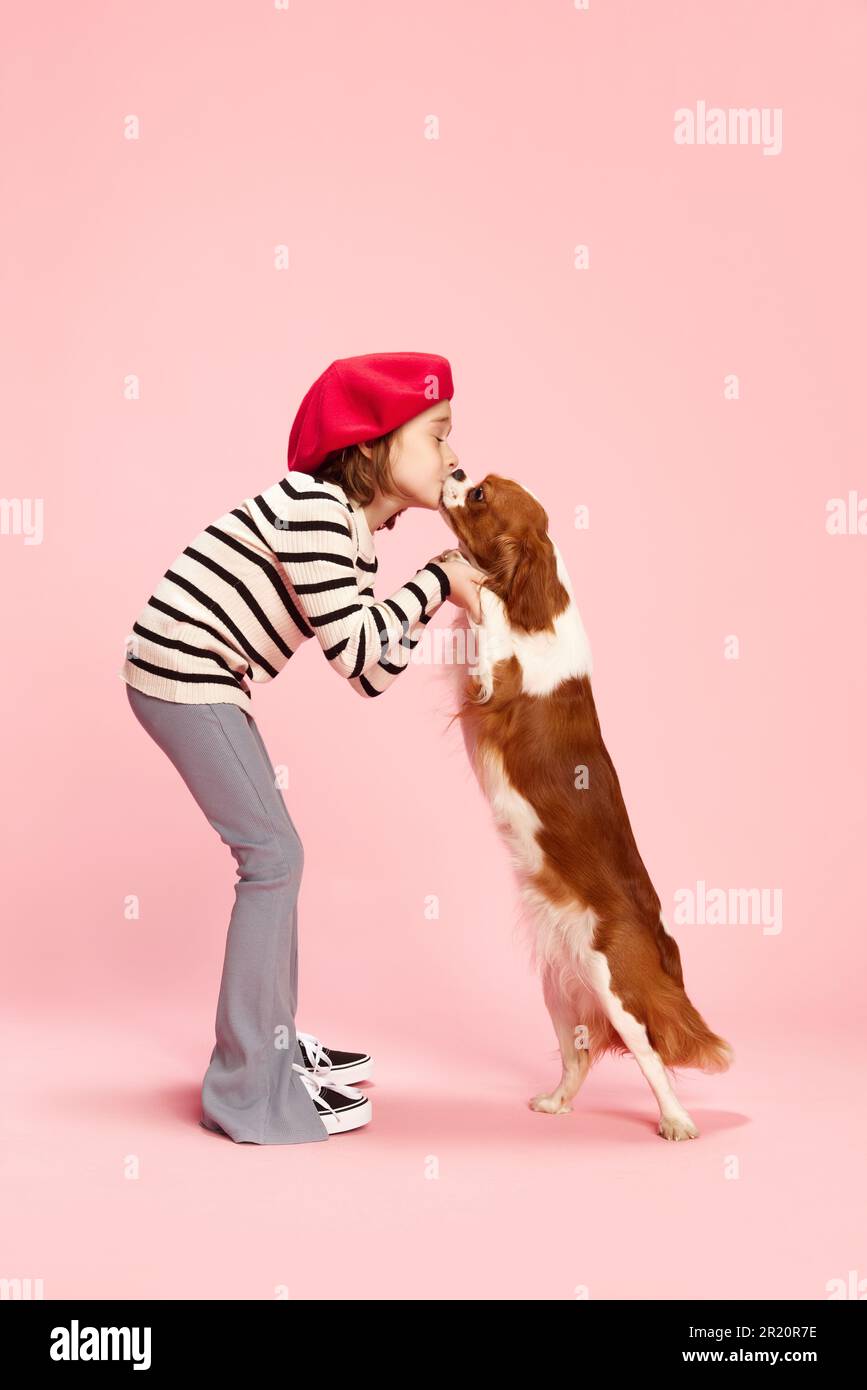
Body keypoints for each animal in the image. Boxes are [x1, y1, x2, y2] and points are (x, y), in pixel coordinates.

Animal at [436, 467, 733, 1139]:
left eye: (480, 495)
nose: (457, 472)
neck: (540, 603)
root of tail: (660, 940)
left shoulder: (494, 684)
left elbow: (489, 615)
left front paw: (465, 572)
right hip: (559, 985)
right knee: (580, 1055)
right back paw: (556, 1103)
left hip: (614, 985)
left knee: (650, 1055)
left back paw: (676, 1120)